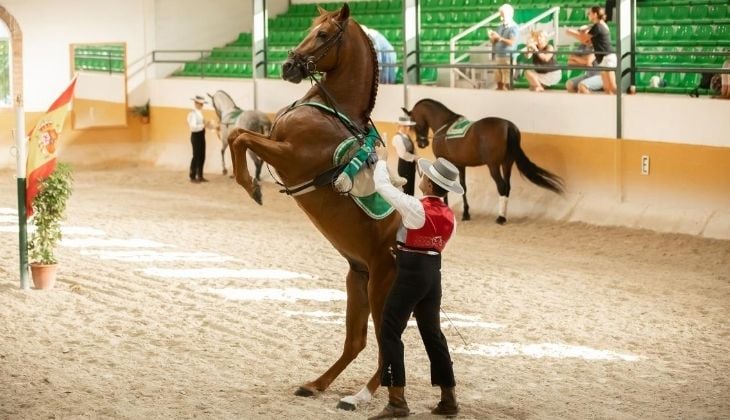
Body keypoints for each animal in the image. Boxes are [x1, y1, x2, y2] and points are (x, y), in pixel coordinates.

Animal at [228, 1, 398, 412]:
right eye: (308, 27)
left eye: (322, 34)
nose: (288, 66)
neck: (328, 111)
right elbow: (236, 134)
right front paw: (249, 183)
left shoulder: (290, 156)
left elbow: (240, 137)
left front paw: (249, 185)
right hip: (358, 279)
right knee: (357, 342)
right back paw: (316, 384)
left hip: (381, 285)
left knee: (386, 345)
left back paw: (358, 396)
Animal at [398, 98, 564, 223]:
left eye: (414, 123)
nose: (422, 143)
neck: (444, 125)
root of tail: (509, 126)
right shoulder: (460, 165)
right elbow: (463, 186)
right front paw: (466, 214)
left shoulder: (445, 161)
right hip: (507, 163)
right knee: (507, 186)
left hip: (493, 165)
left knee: (501, 186)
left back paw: (501, 217)